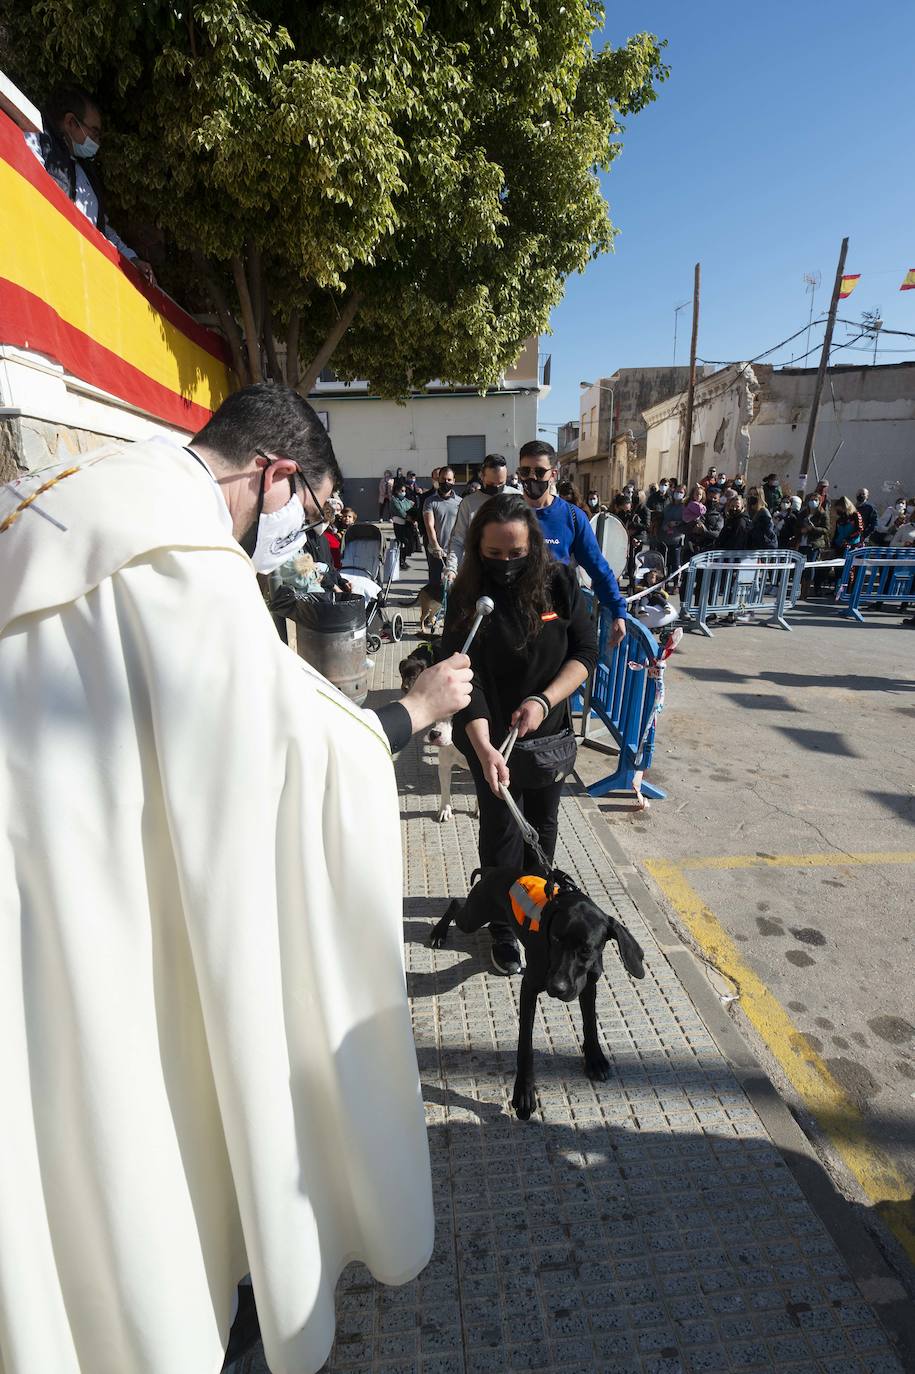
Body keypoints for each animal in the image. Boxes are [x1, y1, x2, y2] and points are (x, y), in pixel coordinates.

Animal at [425, 868, 640, 1115]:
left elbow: (590, 1025)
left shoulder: (588, 985)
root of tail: (492, 871)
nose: (556, 987)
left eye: (586, 950)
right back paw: (439, 931)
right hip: (473, 915)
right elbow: (525, 1046)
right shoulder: (529, 988)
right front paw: (523, 1092)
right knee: (456, 905)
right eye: (555, 938)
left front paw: (594, 1058)